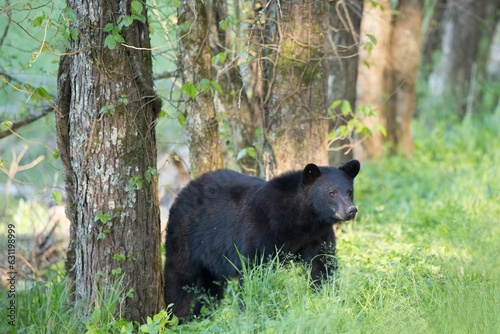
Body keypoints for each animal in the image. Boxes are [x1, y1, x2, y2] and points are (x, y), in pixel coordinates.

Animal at [164, 160, 360, 320]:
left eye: (349, 192)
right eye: (331, 192)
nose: (351, 210)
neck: (300, 220)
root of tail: (185, 190)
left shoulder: (317, 235)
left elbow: (322, 265)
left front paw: (328, 299)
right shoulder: (260, 230)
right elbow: (255, 272)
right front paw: (250, 311)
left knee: (210, 287)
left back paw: (202, 316)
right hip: (186, 235)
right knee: (179, 275)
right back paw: (179, 317)